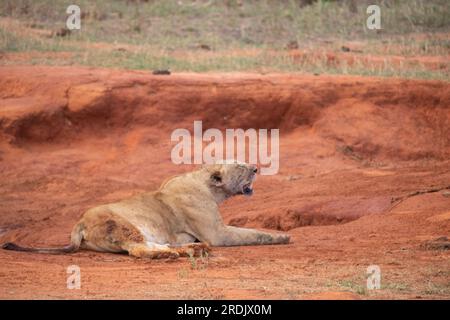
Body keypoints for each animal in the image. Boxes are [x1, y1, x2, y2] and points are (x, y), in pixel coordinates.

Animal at [1, 161, 290, 258]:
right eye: (240, 166)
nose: (256, 168)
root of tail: (78, 223)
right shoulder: (217, 233)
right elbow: (253, 233)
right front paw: (283, 237)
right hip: (122, 224)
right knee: (139, 250)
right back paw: (176, 254)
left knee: (154, 244)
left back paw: (191, 249)